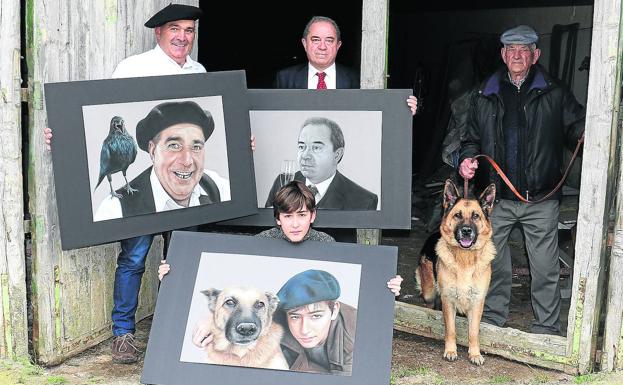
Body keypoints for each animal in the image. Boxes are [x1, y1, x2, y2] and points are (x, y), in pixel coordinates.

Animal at [414, 178, 498, 364]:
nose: (466, 231)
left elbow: (473, 332)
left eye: (475, 216)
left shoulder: (477, 302)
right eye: (458, 215)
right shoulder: (448, 300)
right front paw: (450, 351)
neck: (464, 259)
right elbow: (450, 329)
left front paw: (475, 354)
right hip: (429, 292)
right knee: (429, 303)